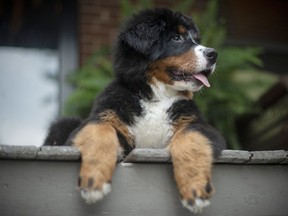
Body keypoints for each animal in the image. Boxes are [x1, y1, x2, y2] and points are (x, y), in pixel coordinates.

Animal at [44, 8, 225, 213]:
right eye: (176, 38)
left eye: (195, 38)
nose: (213, 54)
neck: (156, 97)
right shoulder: (106, 117)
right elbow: (100, 130)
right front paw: (93, 182)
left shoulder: (197, 124)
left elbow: (190, 139)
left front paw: (195, 191)